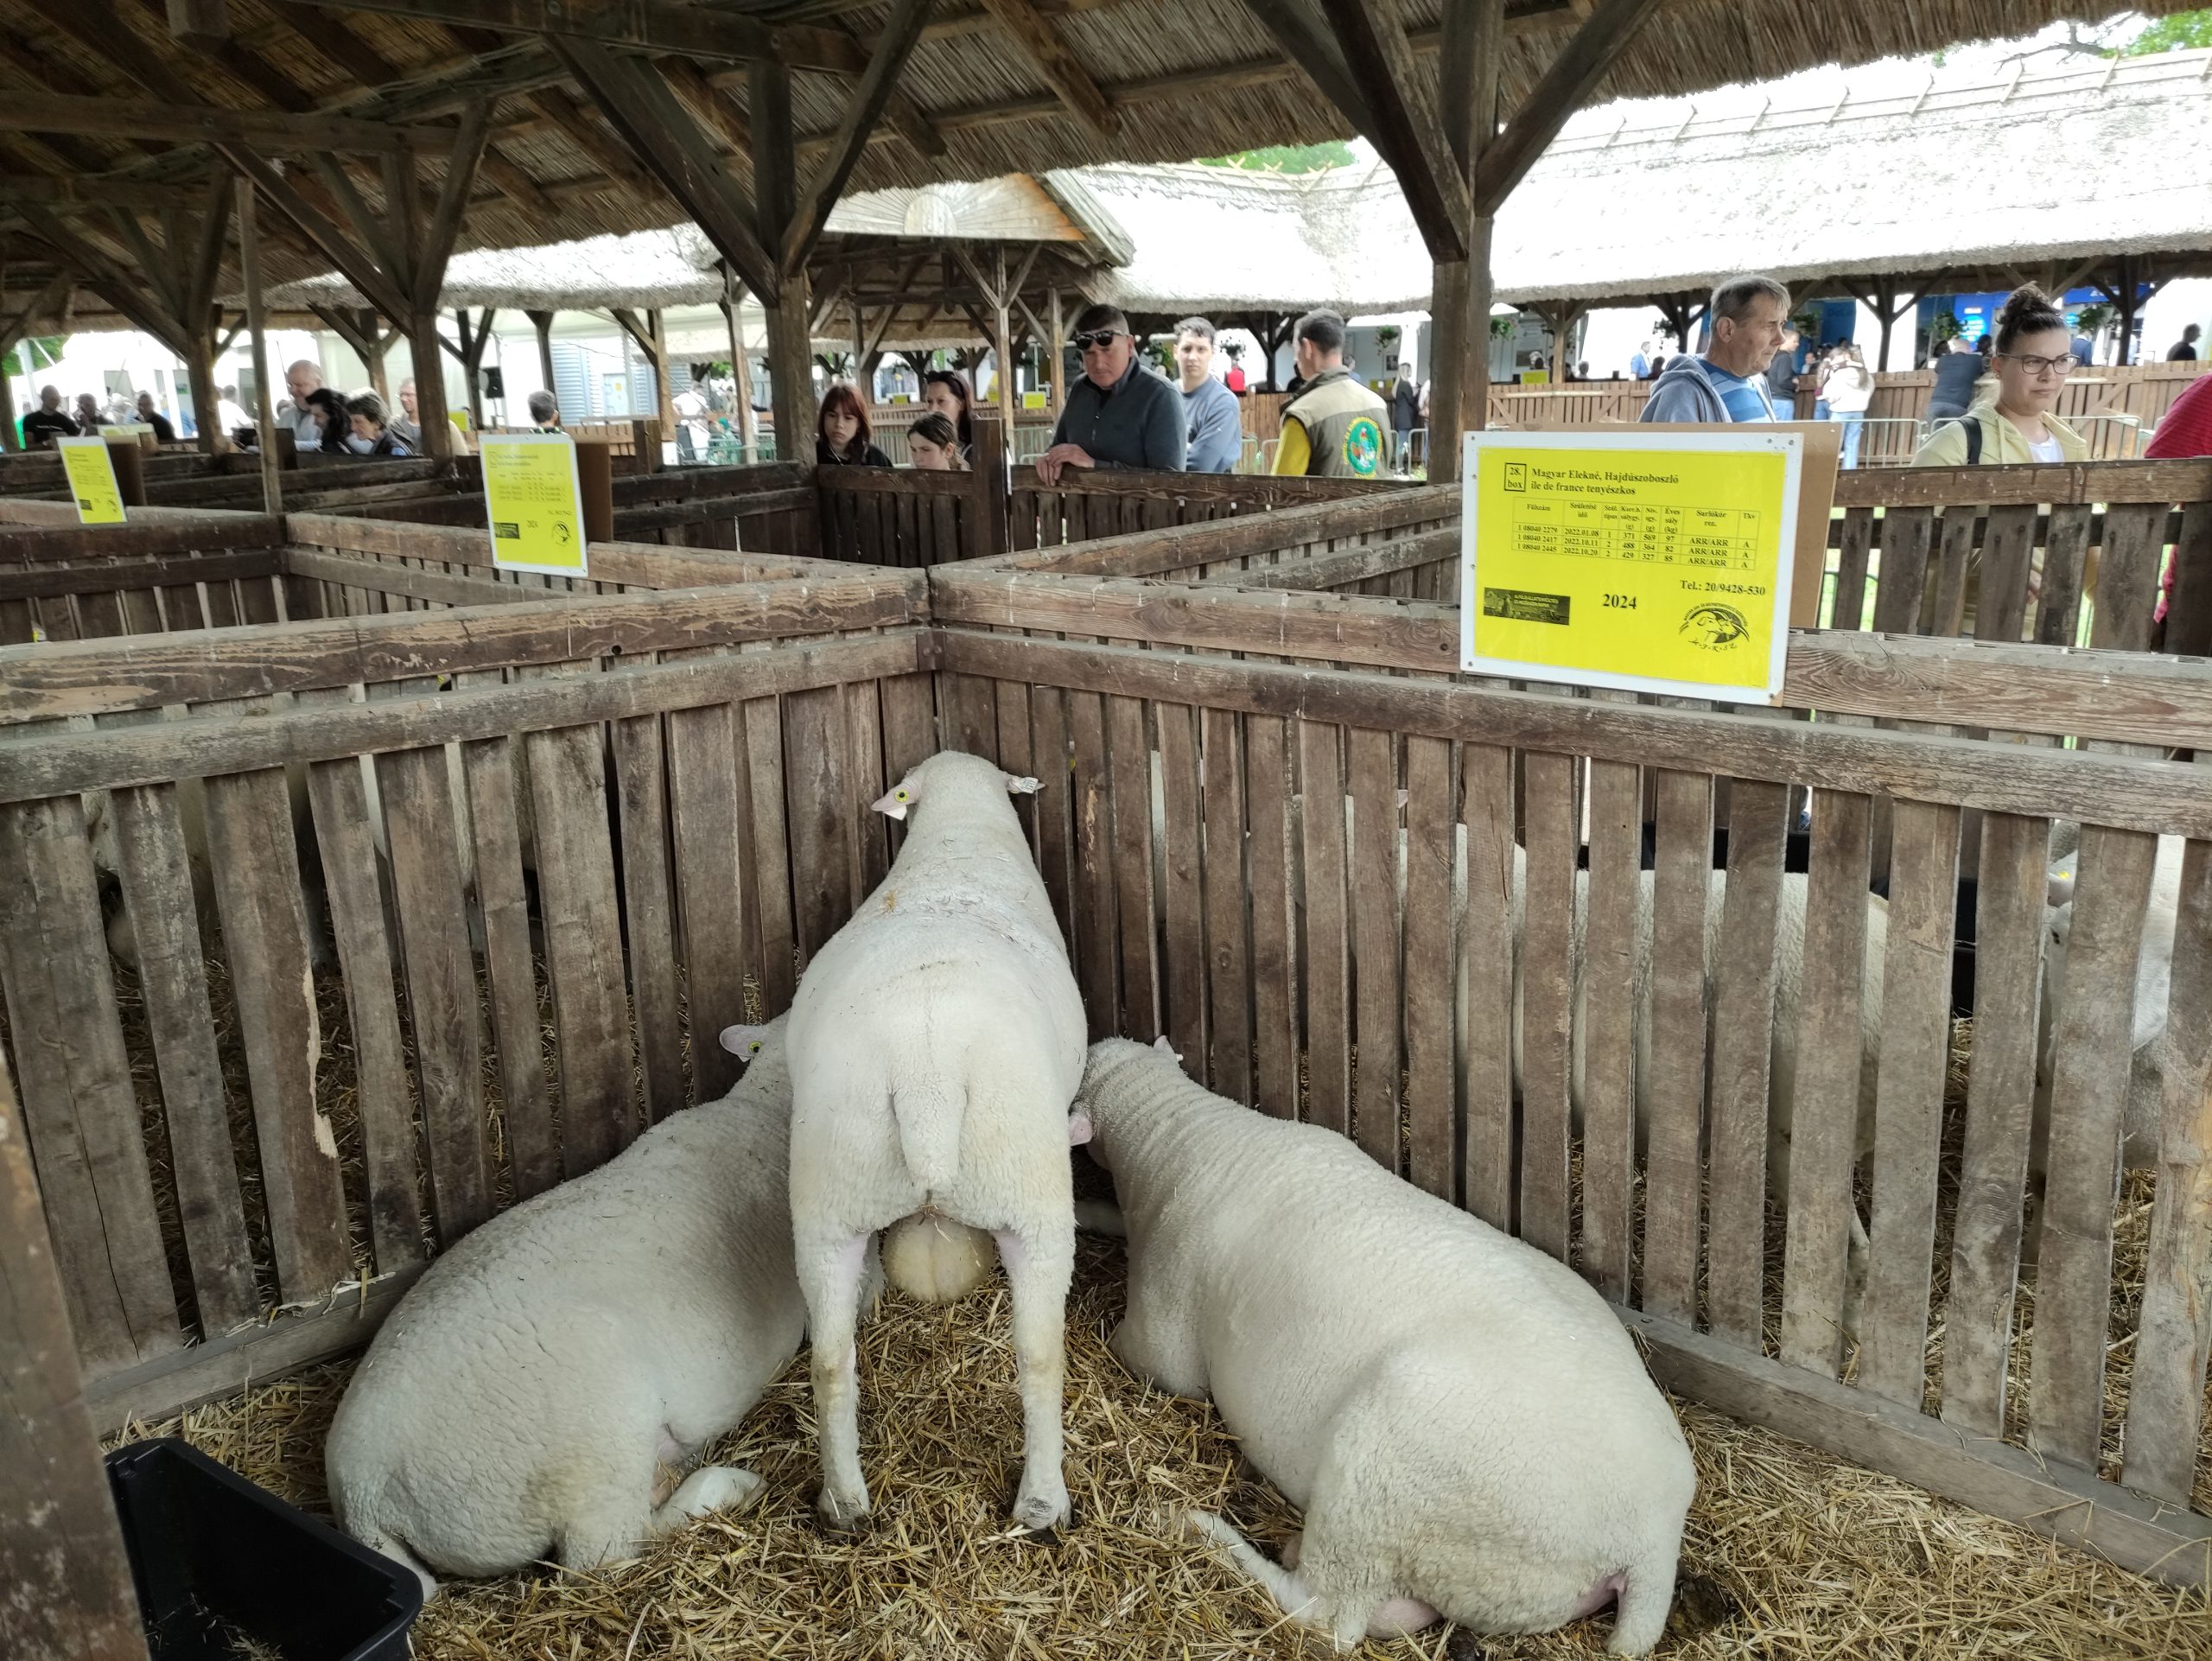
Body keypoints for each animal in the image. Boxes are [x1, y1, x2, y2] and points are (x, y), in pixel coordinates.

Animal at [787, 752, 1088, 1531]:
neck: (957, 835)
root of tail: (926, 1077)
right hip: (1030, 1190)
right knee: (1039, 1356)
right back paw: (1043, 1504)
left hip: (829, 1194)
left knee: (830, 1361)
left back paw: (844, 1503)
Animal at [1084, 1039, 1689, 1654]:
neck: (1176, 1128)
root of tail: (1650, 1546)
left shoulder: (1163, 1333)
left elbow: (1149, 1359)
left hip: (1381, 1479)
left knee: (1328, 1615)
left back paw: (1194, 1526)